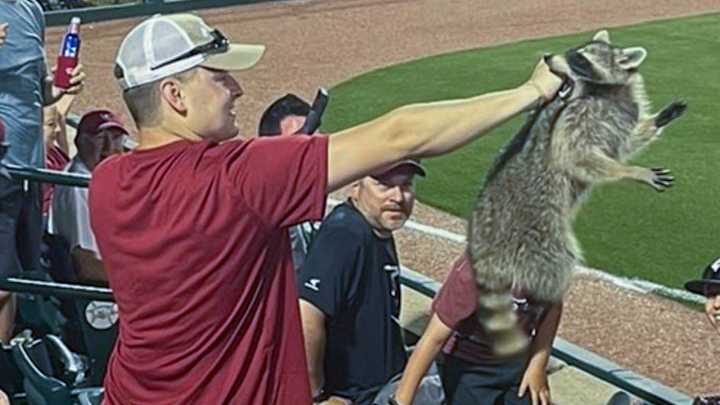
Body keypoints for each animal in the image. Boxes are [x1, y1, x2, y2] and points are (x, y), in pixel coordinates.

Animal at [467, 30, 687, 355]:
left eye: (579, 59)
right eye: (573, 50)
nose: (547, 57)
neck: (607, 91)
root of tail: (482, 247)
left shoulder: (616, 113)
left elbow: (626, 142)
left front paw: (659, 119)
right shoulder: (577, 116)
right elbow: (575, 156)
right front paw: (633, 172)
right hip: (538, 234)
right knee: (557, 261)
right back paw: (547, 296)